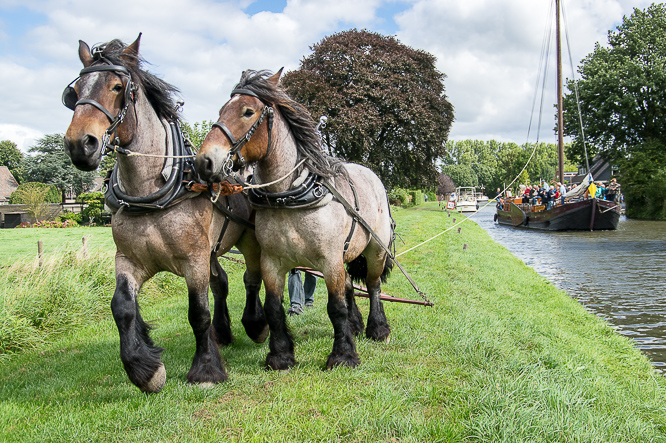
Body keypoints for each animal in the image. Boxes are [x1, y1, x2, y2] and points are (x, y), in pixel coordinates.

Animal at [62, 36, 268, 394]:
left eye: (117, 87)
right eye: (74, 91)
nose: (80, 144)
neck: (150, 195)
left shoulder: (193, 260)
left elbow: (198, 313)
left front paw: (206, 369)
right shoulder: (129, 259)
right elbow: (122, 307)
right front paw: (145, 370)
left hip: (247, 240)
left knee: (252, 279)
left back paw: (255, 325)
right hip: (211, 249)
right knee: (222, 282)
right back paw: (223, 332)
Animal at [193, 70, 390, 372]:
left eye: (248, 111)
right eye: (221, 110)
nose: (204, 161)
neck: (288, 198)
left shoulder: (330, 261)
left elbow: (336, 308)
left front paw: (343, 355)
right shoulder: (272, 262)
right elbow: (274, 308)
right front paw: (281, 355)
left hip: (376, 250)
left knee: (373, 285)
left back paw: (378, 328)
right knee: (350, 287)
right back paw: (356, 325)